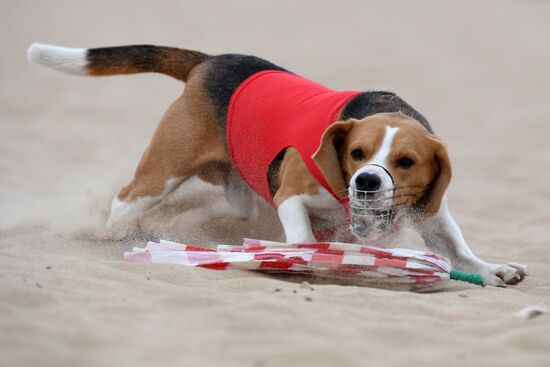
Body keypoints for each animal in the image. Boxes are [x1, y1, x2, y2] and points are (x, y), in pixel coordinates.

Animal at [28, 43, 528, 288]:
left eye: (406, 161)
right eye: (356, 153)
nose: (366, 182)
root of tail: (211, 62)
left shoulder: (432, 215)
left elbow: (460, 251)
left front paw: (493, 271)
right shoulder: (291, 196)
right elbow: (304, 235)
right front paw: (302, 261)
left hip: (237, 190)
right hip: (161, 174)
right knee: (124, 202)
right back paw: (109, 235)